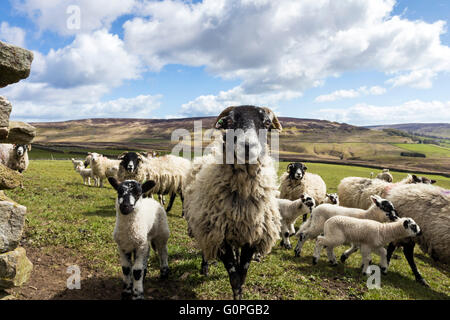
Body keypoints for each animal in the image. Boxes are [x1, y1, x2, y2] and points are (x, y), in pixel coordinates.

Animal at [183, 105, 282, 300]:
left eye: (267, 123)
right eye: (228, 122)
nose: (248, 147)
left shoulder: (252, 237)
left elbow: (241, 275)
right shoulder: (220, 237)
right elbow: (234, 278)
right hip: (203, 225)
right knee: (205, 248)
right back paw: (205, 267)